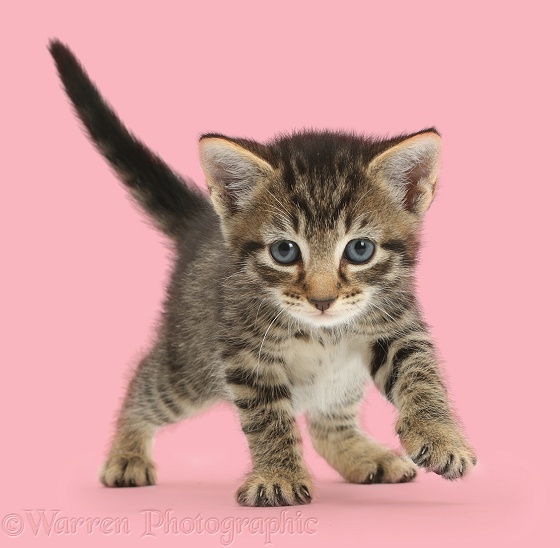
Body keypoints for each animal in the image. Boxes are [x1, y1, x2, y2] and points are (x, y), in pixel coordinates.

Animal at [49, 40, 476, 508]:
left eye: (360, 249)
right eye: (284, 251)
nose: (322, 299)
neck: (325, 332)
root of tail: (202, 221)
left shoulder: (397, 322)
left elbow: (422, 375)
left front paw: (441, 436)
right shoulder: (245, 352)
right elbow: (268, 417)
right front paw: (278, 475)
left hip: (338, 380)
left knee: (327, 423)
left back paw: (365, 454)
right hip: (190, 368)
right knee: (146, 380)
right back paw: (126, 453)